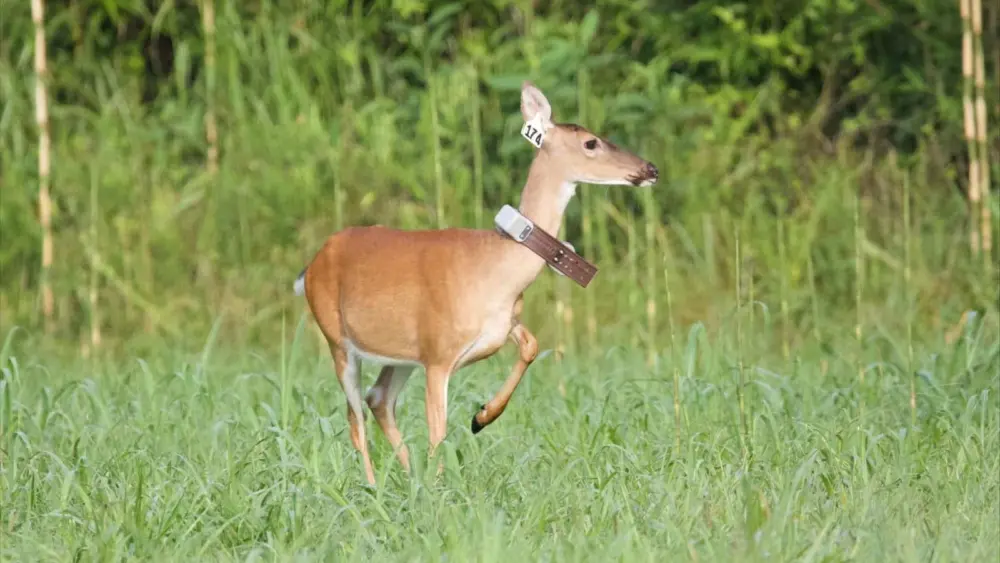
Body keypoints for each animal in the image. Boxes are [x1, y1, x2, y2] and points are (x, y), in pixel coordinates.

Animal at [294, 81, 658, 485]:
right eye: (591, 143)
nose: (651, 168)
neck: (499, 267)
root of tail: (310, 267)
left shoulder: (498, 324)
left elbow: (531, 345)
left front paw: (481, 417)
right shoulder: (438, 353)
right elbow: (437, 431)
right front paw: (442, 485)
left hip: (401, 353)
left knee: (379, 398)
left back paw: (410, 477)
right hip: (337, 340)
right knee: (355, 417)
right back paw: (376, 489)